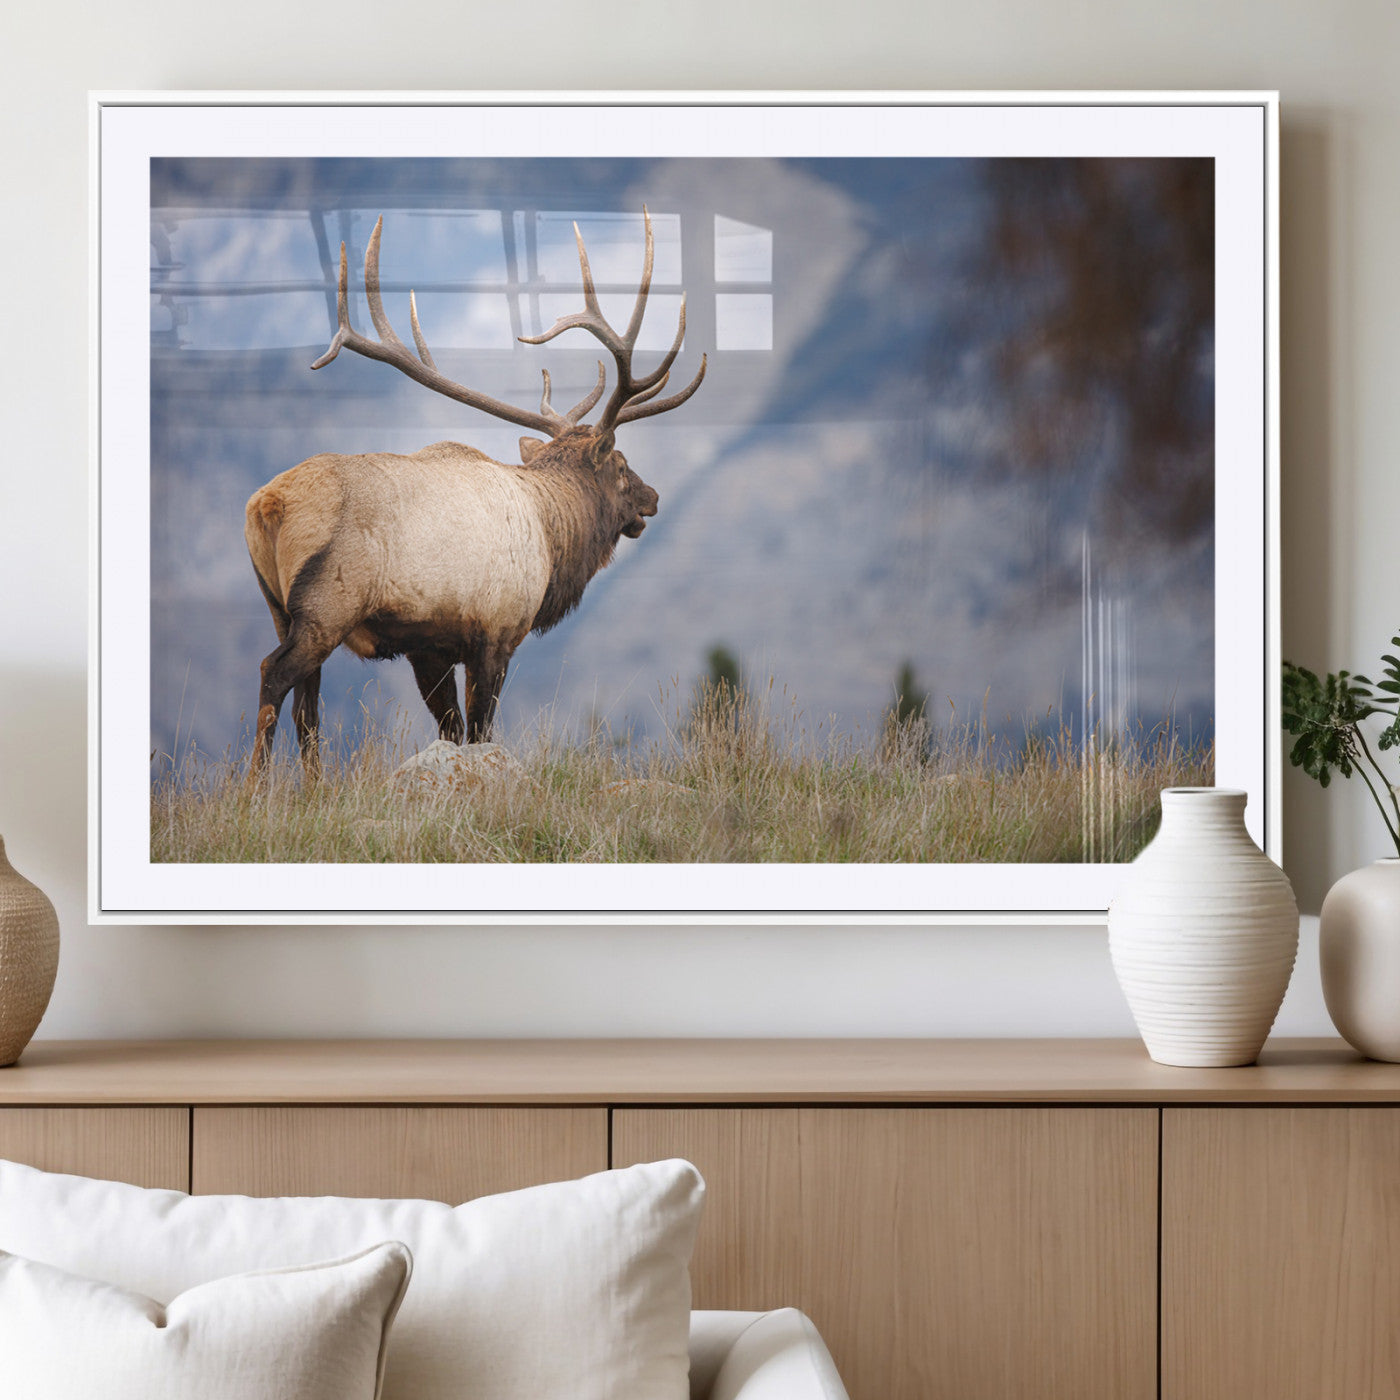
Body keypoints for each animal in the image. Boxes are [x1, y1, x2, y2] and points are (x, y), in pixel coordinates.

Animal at [243, 206, 705, 785]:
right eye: (621, 466)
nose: (653, 497)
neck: (552, 541)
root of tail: (267, 505)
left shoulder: (429, 646)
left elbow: (452, 729)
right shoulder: (498, 632)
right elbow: (481, 730)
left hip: (278, 606)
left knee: (308, 705)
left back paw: (315, 788)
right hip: (327, 606)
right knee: (274, 675)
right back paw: (253, 787)